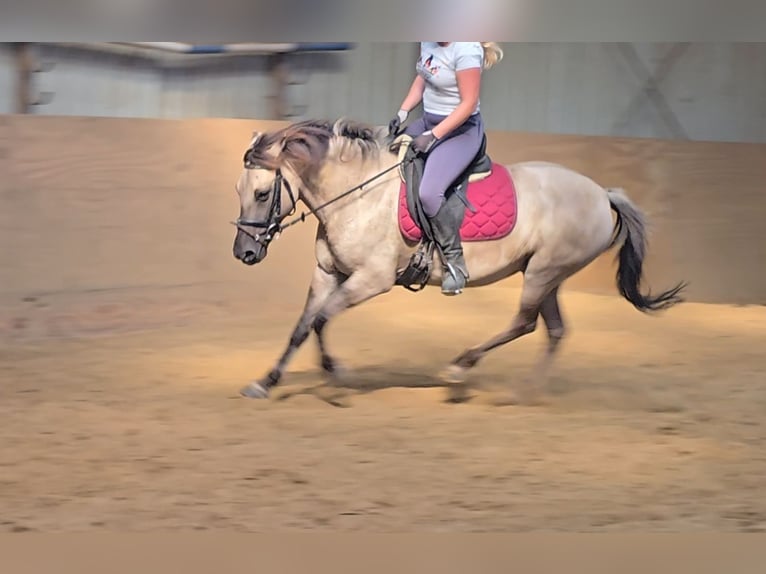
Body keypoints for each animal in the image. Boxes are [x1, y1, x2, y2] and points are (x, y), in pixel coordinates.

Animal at [231, 118, 688, 404]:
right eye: (240, 190)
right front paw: (265, 383)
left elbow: (323, 320)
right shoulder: (328, 272)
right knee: (554, 330)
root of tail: (601, 193)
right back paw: (522, 392)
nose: (244, 253)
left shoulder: (371, 279)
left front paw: (337, 374)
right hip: (546, 274)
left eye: (261, 193)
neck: (357, 194)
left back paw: (460, 368)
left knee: (525, 323)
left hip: (544, 271)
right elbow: (302, 327)